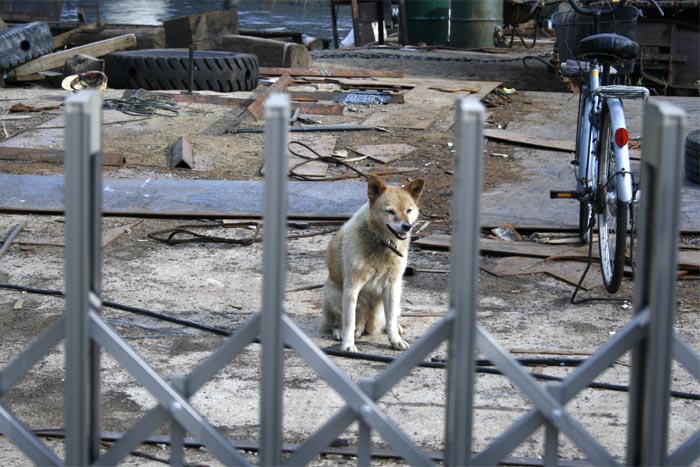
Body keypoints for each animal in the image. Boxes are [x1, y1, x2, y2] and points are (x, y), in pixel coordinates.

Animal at [322, 174, 426, 352]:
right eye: (390, 211)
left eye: (408, 210)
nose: (407, 226)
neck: (382, 243)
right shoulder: (352, 287)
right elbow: (349, 321)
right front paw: (348, 344)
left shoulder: (392, 286)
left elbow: (390, 319)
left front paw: (395, 340)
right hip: (334, 294)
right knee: (337, 321)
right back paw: (339, 331)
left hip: (398, 292)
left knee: (389, 318)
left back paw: (397, 327)